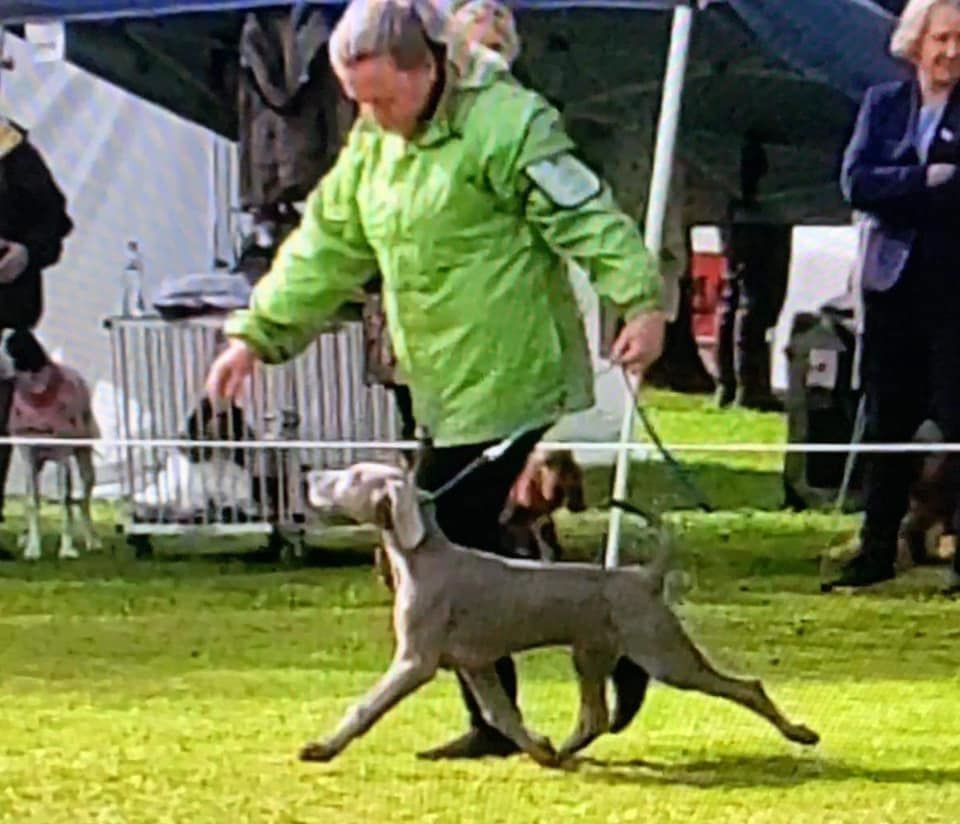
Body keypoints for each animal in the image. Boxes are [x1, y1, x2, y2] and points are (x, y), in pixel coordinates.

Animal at [0, 329, 101, 560]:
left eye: (12, 345)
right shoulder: (29, 455)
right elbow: (32, 502)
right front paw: (32, 548)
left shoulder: (62, 456)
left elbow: (65, 501)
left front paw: (66, 548)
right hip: (37, 464)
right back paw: (26, 537)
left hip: (84, 458)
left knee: (83, 501)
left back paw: (92, 540)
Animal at [302, 461, 819, 766]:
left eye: (352, 476)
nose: (307, 475)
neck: (423, 556)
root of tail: (644, 575)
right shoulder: (475, 664)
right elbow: (502, 714)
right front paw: (540, 749)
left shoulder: (416, 661)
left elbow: (365, 706)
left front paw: (322, 747)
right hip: (590, 654)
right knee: (595, 718)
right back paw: (567, 751)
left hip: (665, 655)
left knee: (746, 687)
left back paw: (799, 733)